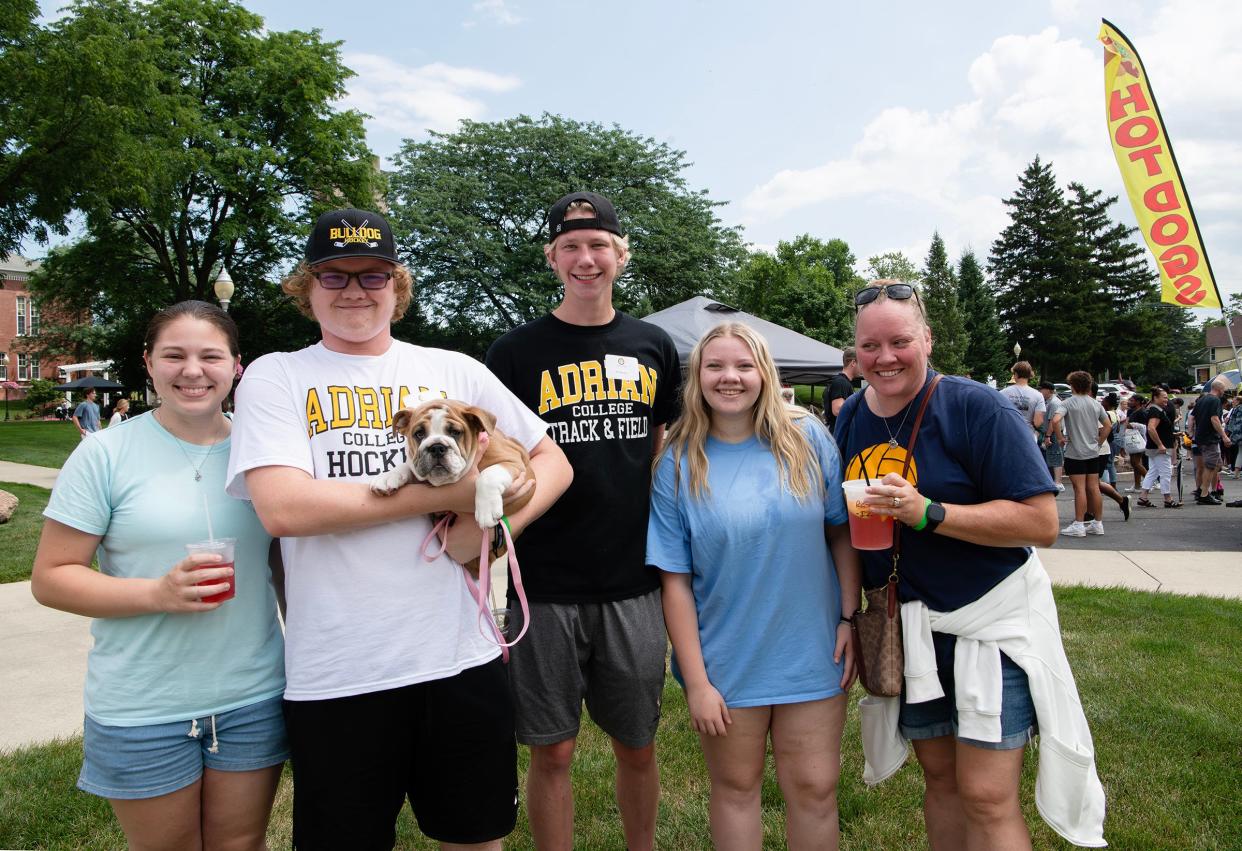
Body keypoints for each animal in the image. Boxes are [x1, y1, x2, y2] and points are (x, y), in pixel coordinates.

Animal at [367, 397, 534, 524]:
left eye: (455, 432)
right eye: (419, 434)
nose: (436, 447)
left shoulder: (514, 461)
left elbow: (488, 475)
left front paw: (487, 510)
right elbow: (407, 466)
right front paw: (388, 477)